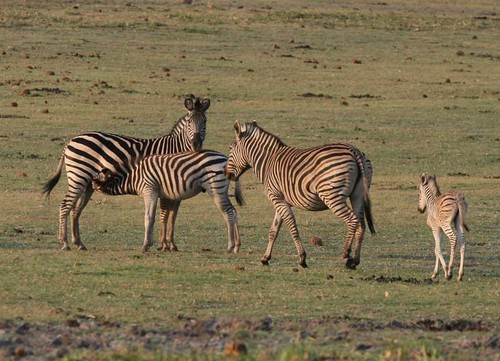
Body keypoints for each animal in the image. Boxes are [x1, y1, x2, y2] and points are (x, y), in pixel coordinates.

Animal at [40, 95, 209, 250]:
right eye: (189, 122)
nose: (196, 144)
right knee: (65, 205)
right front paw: (164, 244)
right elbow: (165, 214)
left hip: (88, 183)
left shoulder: (176, 190)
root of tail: (71, 141)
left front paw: (171, 244)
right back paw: (65, 242)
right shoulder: (165, 185)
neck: (176, 149)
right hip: (78, 176)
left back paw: (79, 243)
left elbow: (173, 216)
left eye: (205, 122)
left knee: (75, 209)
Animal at [92, 149, 246, 253]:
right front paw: (160, 245)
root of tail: (226, 159)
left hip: (215, 188)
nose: (91, 184)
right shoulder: (162, 194)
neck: (133, 175)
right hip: (221, 189)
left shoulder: (150, 190)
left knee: (228, 213)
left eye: (96, 179)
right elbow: (164, 217)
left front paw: (146, 245)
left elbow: (149, 217)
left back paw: (230, 246)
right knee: (234, 211)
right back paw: (237, 246)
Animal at [224, 120, 376, 268]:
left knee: (352, 220)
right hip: (357, 195)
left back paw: (346, 255)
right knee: (361, 225)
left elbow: (292, 228)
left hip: (332, 196)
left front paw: (302, 259)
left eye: (230, 149)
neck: (268, 162)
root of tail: (354, 151)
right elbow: (274, 231)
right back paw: (355, 260)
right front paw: (265, 258)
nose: (226, 174)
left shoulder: (277, 198)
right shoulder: (280, 199)